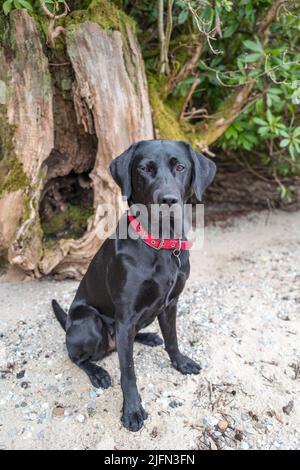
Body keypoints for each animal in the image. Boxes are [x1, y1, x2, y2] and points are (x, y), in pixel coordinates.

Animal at [52, 139, 216, 430]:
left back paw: (148, 337)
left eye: (180, 167)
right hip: (89, 321)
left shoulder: (170, 305)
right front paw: (132, 410)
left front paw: (180, 362)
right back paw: (97, 372)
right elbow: (127, 371)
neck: (160, 243)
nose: (168, 200)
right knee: (76, 355)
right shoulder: (126, 315)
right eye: (145, 169)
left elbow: (172, 339)